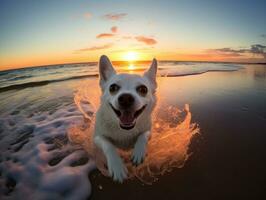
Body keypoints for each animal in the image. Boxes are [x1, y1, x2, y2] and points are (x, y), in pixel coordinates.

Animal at [93, 55, 157, 183]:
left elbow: (143, 135)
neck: (124, 130)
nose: (126, 98)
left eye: (143, 89)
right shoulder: (97, 138)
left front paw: (138, 151)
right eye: (113, 87)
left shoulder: (149, 131)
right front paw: (117, 166)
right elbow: (108, 144)